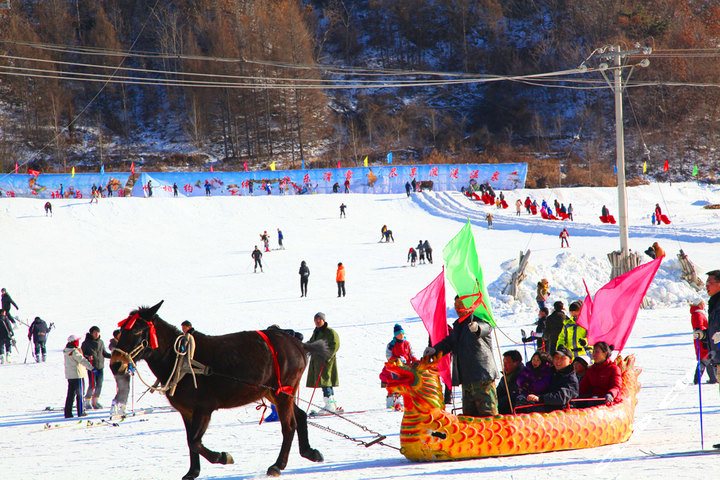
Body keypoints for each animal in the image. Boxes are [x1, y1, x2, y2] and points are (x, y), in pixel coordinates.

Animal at [109, 300, 330, 476]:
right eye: (121, 331)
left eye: (137, 331)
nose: (115, 364)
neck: (180, 359)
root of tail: (298, 345)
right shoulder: (187, 411)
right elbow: (190, 441)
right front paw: (192, 472)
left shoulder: (203, 408)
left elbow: (195, 442)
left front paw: (223, 457)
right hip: (275, 392)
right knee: (300, 416)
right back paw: (309, 452)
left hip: (283, 392)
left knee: (289, 426)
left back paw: (278, 464)